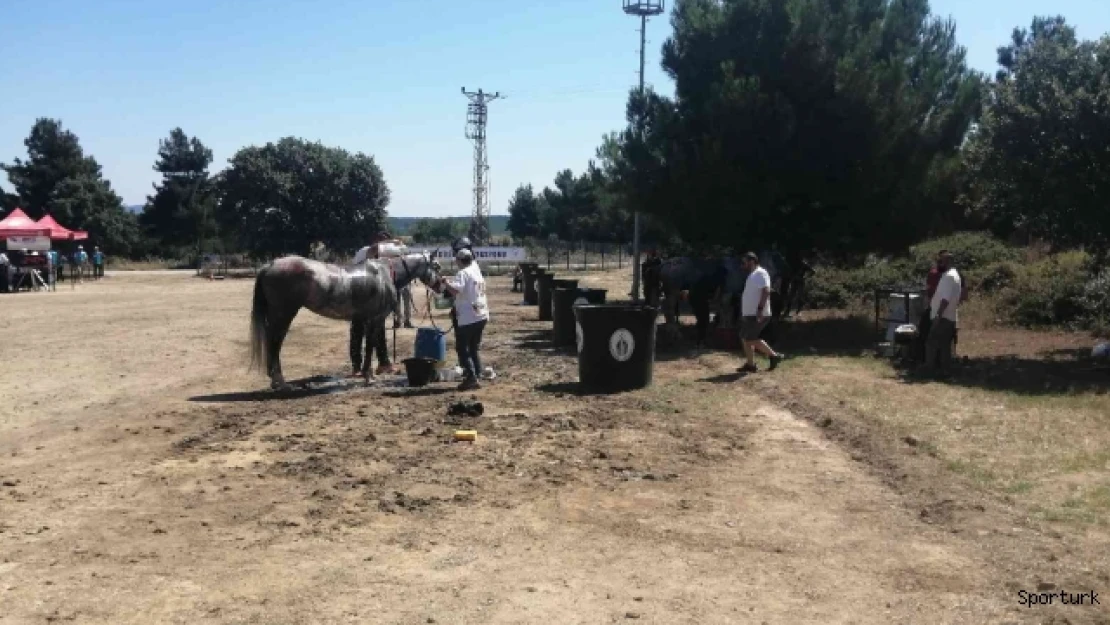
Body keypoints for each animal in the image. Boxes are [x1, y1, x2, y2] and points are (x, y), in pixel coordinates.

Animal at [249, 251, 444, 388]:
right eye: (437, 266)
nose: (443, 288)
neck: (385, 274)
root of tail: (270, 265)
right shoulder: (375, 318)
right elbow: (371, 345)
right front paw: (369, 376)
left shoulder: (366, 319)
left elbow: (369, 345)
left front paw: (368, 374)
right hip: (284, 315)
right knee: (275, 343)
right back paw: (280, 381)